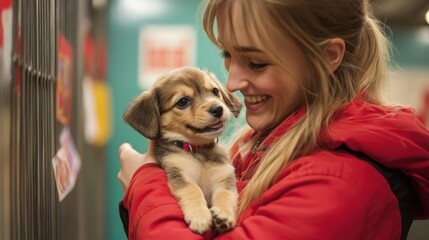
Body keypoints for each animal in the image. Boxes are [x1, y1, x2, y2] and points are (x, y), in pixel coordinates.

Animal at [123, 66, 241, 234]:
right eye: (183, 102)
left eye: (215, 91)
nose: (218, 109)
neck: (197, 150)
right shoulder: (177, 172)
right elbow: (193, 188)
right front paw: (199, 216)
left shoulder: (223, 176)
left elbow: (226, 194)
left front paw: (224, 215)